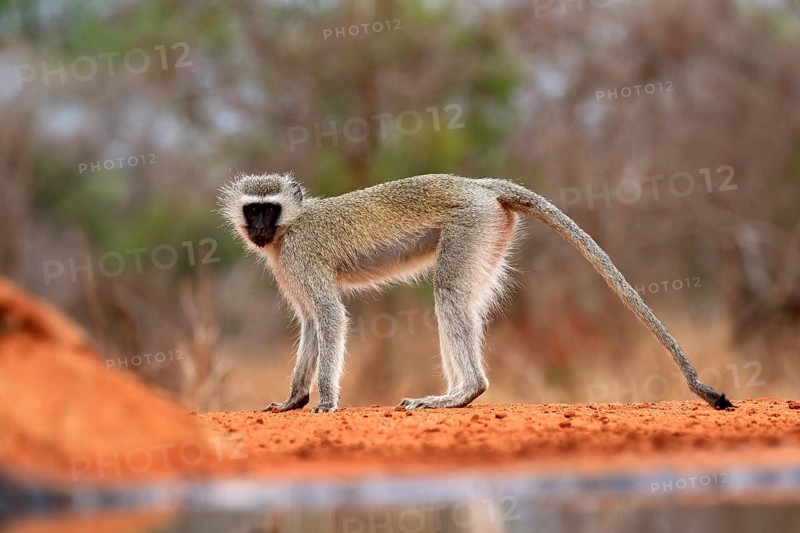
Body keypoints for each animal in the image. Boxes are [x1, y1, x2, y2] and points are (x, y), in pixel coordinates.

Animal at [218, 172, 734, 413]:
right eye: (253, 209)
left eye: (269, 208)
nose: (259, 229)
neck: (289, 227)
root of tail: (479, 184)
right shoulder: (286, 264)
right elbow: (310, 323)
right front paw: (292, 400)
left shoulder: (299, 255)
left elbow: (329, 317)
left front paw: (324, 403)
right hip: (492, 232)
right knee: (462, 299)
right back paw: (457, 393)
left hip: (472, 222)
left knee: (448, 293)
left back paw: (463, 393)